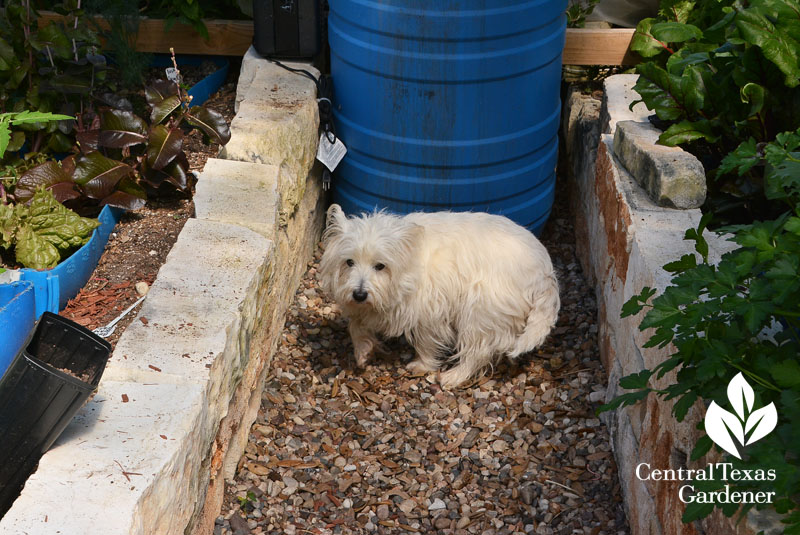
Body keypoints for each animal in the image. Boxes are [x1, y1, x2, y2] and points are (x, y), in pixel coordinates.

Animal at [316, 205, 560, 390]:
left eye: (380, 266)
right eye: (349, 262)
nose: (359, 294)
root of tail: (544, 272)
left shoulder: (431, 309)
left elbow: (426, 341)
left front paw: (423, 365)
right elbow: (356, 325)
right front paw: (363, 350)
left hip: (480, 309)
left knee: (478, 350)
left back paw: (455, 375)